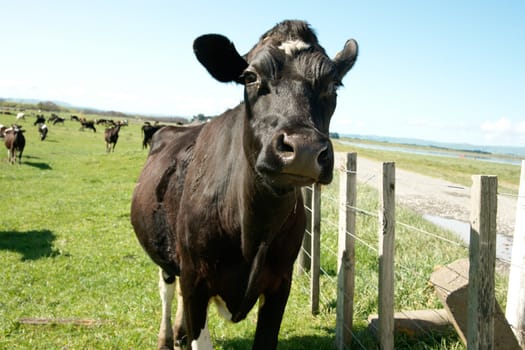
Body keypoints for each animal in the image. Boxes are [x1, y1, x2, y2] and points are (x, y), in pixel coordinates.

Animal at [130, 19, 356, 350]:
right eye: (250, 76)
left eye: (334, 84)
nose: (303, 149)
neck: (252, 228)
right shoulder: (196, 278)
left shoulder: (280, 283)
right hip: (167, 254)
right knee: (167, 289)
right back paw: (166, 338)